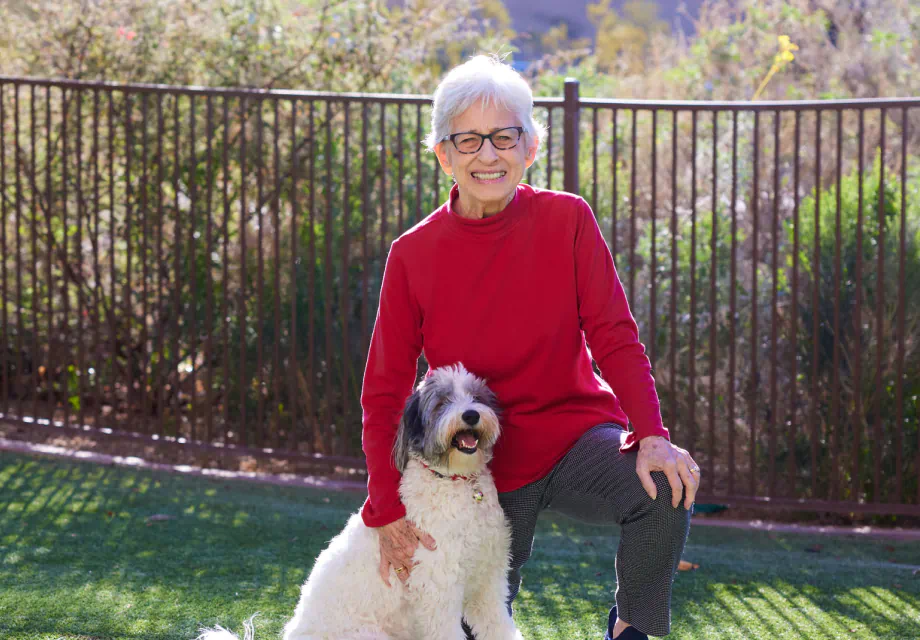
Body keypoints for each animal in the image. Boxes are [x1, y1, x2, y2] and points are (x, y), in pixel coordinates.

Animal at [192, 364, 524, 640]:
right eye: (442, 402)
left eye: (476, 397)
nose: (471, 415)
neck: (456, 481)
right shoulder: (438, 590)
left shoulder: (488, 583)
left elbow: (500, 627)